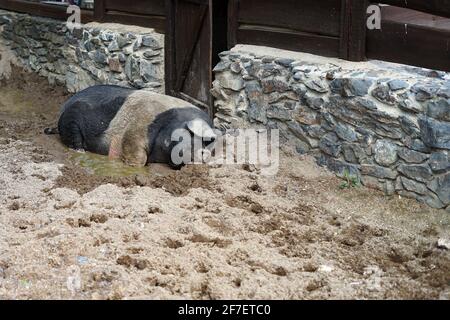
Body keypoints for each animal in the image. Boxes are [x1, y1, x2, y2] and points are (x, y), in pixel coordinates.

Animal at [44, 85, 217, 170]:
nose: (203, 154)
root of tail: (65, 106)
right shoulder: (137, 129)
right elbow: (135, 151)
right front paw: (133, 167)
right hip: (71, 119)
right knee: (74, 139)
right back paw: (80, 150)